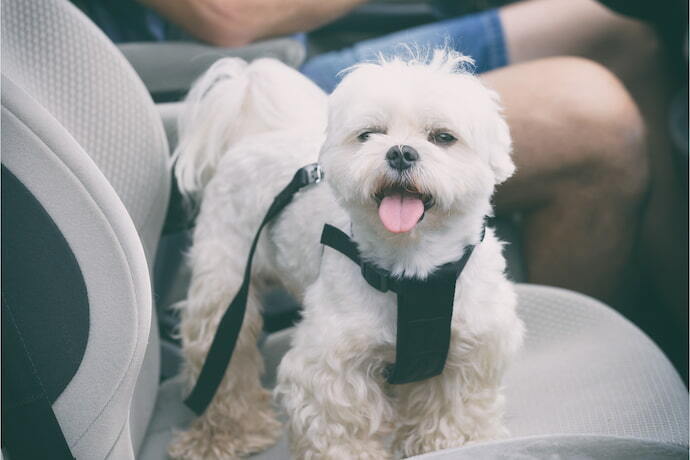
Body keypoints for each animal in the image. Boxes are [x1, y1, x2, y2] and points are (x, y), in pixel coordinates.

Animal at [171, 51, 520, 460]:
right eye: (369, 134)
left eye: (443, 137)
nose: (400, 152)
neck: (411, 268)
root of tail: (252, 137)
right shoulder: (330, 367)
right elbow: (338, 427)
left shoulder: (472, 348)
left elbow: (456, 411)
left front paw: (451, 444)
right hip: (224, 289)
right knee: (223, 358)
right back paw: (225, 434)